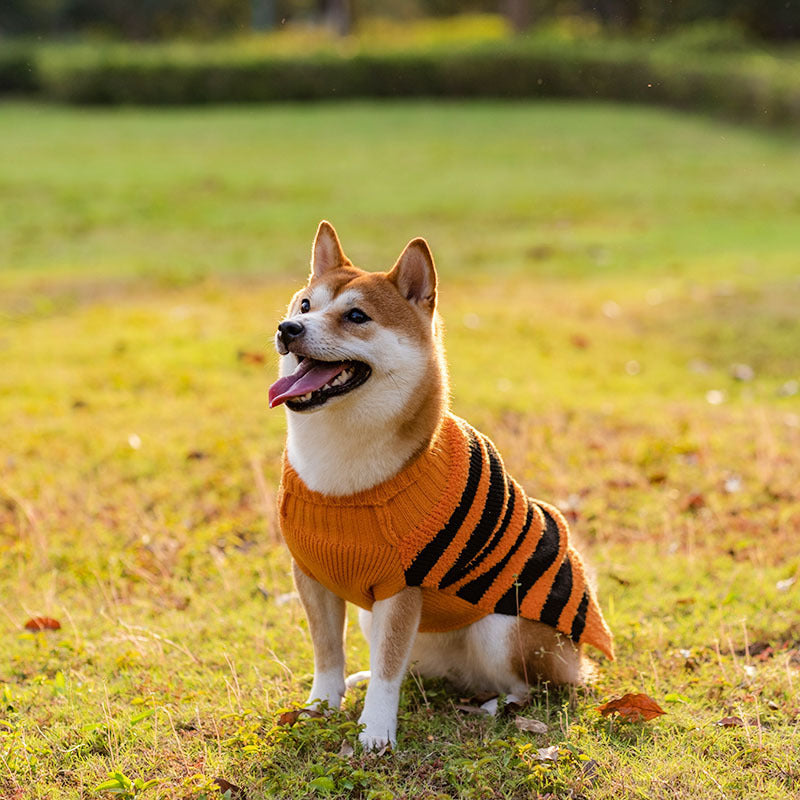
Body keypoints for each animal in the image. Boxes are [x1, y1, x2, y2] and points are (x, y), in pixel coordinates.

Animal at [268, 220, 612, 752]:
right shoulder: (311, 574)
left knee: (530, 688)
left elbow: (388, 671)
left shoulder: (401, 587)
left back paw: (495, 707)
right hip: (379, 620)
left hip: (504, 630)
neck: (341, 466)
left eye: (356, 316)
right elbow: (329, 655)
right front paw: (321, 708)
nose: (289, 330)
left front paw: (375, 733)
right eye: (305, 306)